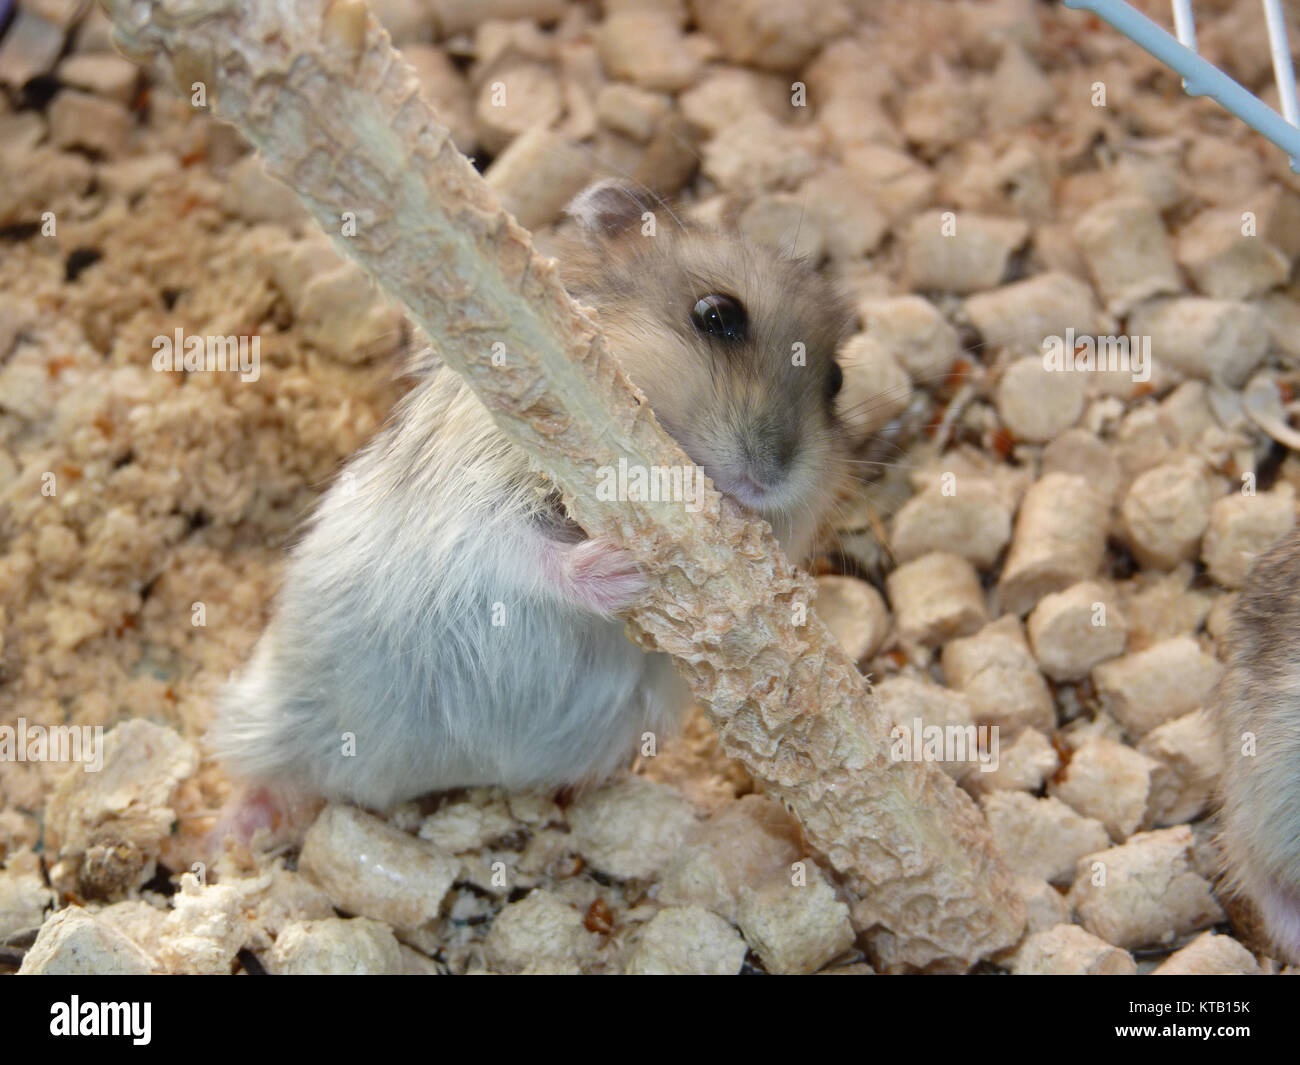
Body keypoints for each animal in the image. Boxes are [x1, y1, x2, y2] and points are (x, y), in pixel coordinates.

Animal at [206, 180, 854, 817]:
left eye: (835, 383)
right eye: (717, 314)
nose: (772, 475)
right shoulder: (474, 501)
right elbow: (522, 551)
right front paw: (627, 571)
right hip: (275, 711)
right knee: (267, 774)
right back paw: (234, 830)